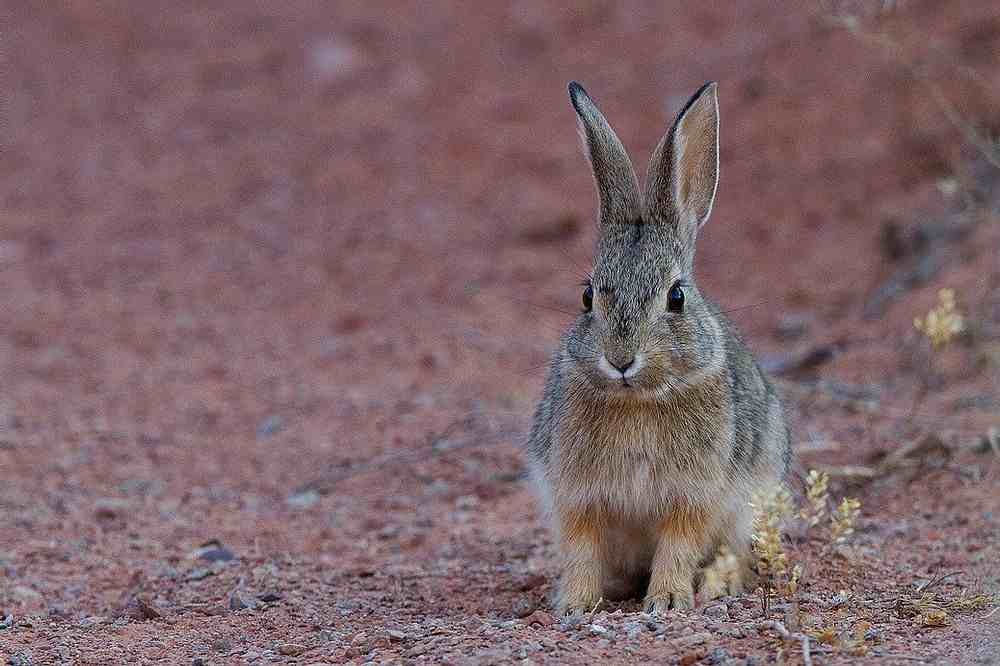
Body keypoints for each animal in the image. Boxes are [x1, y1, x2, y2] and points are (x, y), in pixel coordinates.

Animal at [528, 81, 792, 612]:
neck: (638, 401)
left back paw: (719, 584)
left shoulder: (695, 495)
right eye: (587, 296)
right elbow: (582, 548)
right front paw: (576, 604)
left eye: (676, 297)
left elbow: (678, 544)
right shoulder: (576, 495)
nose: (620, 360)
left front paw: (668, 600)